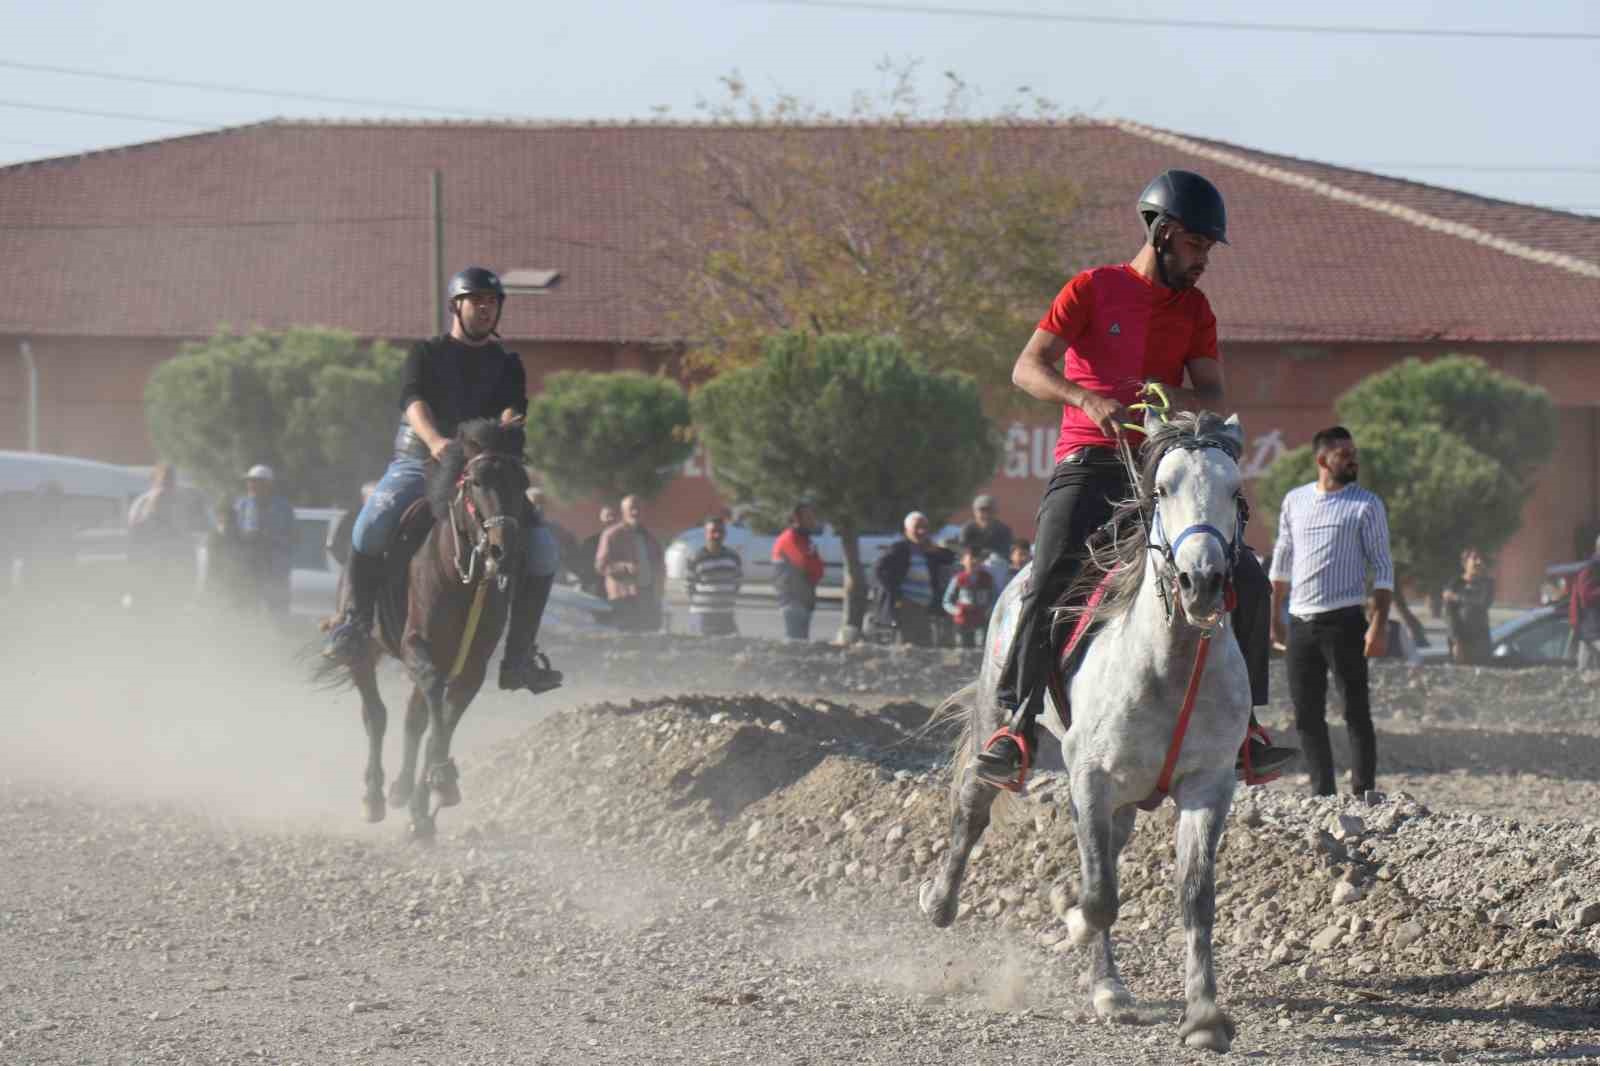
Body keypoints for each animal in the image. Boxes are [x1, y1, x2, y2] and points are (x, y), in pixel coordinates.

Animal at [315, 416, 528, 838]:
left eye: (522, 481)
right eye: (475, 481)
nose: (504, 550)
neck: (460, 575)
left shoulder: (471, 666)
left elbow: (440, 719)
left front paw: (428, 801)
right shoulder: (418, 647)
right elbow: (431, 704)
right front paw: (440, 782)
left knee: (413, 719)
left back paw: (403, 792)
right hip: (365, 648)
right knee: (376, 715)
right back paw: (375, 797)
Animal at [921, 409, 1254, 1049]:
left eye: (1235, 491)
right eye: (1162, 488)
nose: (1202, 581)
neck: (1170, 665)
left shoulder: (1207, 785)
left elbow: (1195, 898)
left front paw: (1203, 1017)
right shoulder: (1091, 778)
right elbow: (1099, 897)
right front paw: (1069, 917)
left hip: (1126, 795)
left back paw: (1110, 988)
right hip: (998, 718)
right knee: (973, 805)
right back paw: (939, 902)